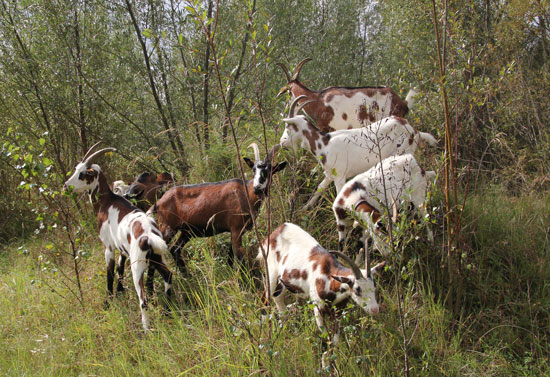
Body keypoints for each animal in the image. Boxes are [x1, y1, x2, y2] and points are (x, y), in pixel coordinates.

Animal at [62, 142, 171, 330]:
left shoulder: (108, 247)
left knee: (143, 299)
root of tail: (148, 236)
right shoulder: (122, 250)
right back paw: (168, 313)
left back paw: (146, 328)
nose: (66, 185)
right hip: (158, 258)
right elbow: (120, 270)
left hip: (137, 267)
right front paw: (120, 293)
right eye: (76, 169)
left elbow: (110, 273)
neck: (107, 202)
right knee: (168, 277)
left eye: (82, 174)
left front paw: (108, 301)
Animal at [151, 143, 288, 270]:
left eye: (270, 170)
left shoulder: (238, 231)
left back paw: (186, 275)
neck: (245, 193)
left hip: (186, 231)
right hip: (167, 228)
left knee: (175, 249)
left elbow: (230, 258)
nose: (257, 188)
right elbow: (240, 258)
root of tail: (159, 202)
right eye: (254, 169)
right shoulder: (236, 229)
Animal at [258, 222, 384, 366]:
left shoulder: (338, 312)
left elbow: (334, 340)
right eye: (357, 289)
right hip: (271, 273)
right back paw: (264, 339)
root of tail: (276, 231)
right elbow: (325, 337)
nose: (374, 309)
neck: (328, 278)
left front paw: (330, 364)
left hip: (283, 281)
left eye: (374, 286)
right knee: (265, 300)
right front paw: (324, 365)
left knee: (278, 298)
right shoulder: (318, 308)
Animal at [282, 96, 438, 209]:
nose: (282, 142)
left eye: (288, 126)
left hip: (403, 153)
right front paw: (305, 209)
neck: (323, 143)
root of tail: (414, 131)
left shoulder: (340, 176)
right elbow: (319, 188)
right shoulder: (330, 174)